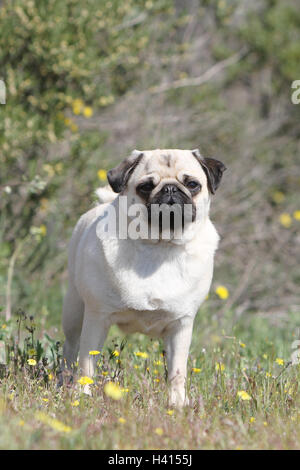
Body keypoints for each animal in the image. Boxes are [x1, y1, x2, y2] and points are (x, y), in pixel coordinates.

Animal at [61, 149, 225, 406]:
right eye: (146, 187)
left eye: (192, 184)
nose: (170, 189)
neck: (159, 245)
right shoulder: (97, 318)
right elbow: (86, 365)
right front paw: (82, 395)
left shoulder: (181, 325)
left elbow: (177, 371)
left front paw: (177, 404)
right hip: (74, 311)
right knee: (70, 349)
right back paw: (65, 382)